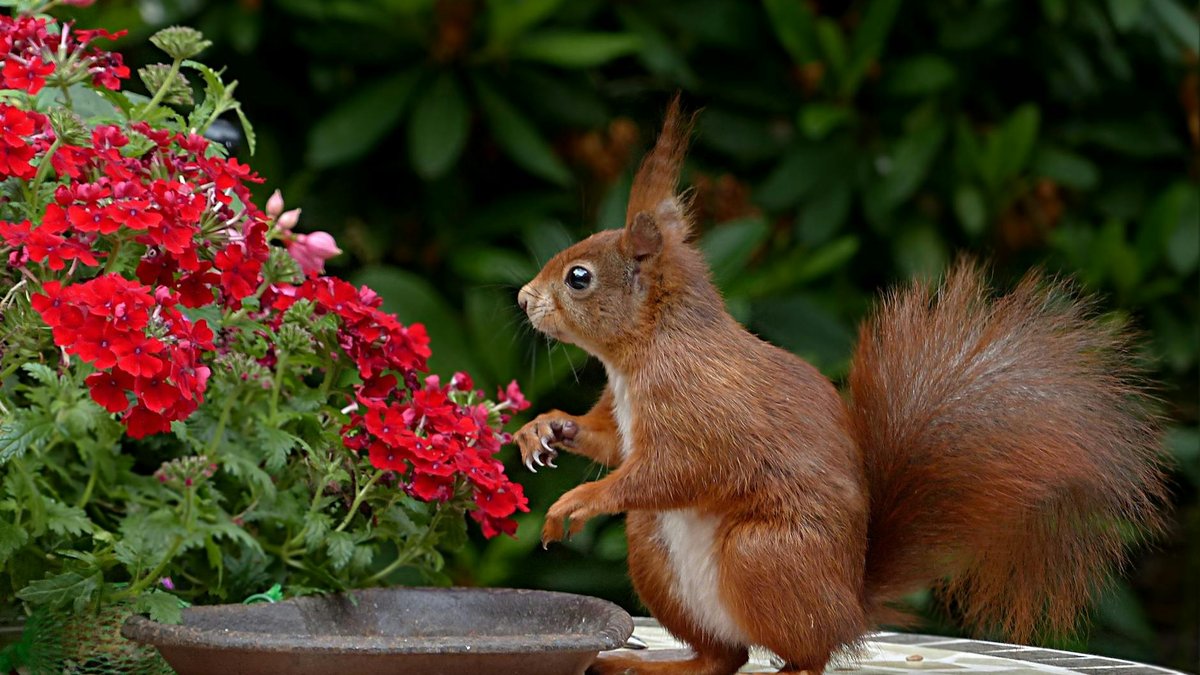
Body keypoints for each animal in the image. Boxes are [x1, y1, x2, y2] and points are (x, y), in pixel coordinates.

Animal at [514, 98, 1168, 675]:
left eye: (579, 278)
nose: (522, 298)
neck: (644, 352)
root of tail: (850, 608)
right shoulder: (623, 414)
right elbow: (610, 443)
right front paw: (543, 429)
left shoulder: (701, 405)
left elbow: (676, 469)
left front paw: (578, 500)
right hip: (654, 548)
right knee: (724, 657)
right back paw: (652, 662)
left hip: (764, 555)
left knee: (806, 651)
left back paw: (792, 666)